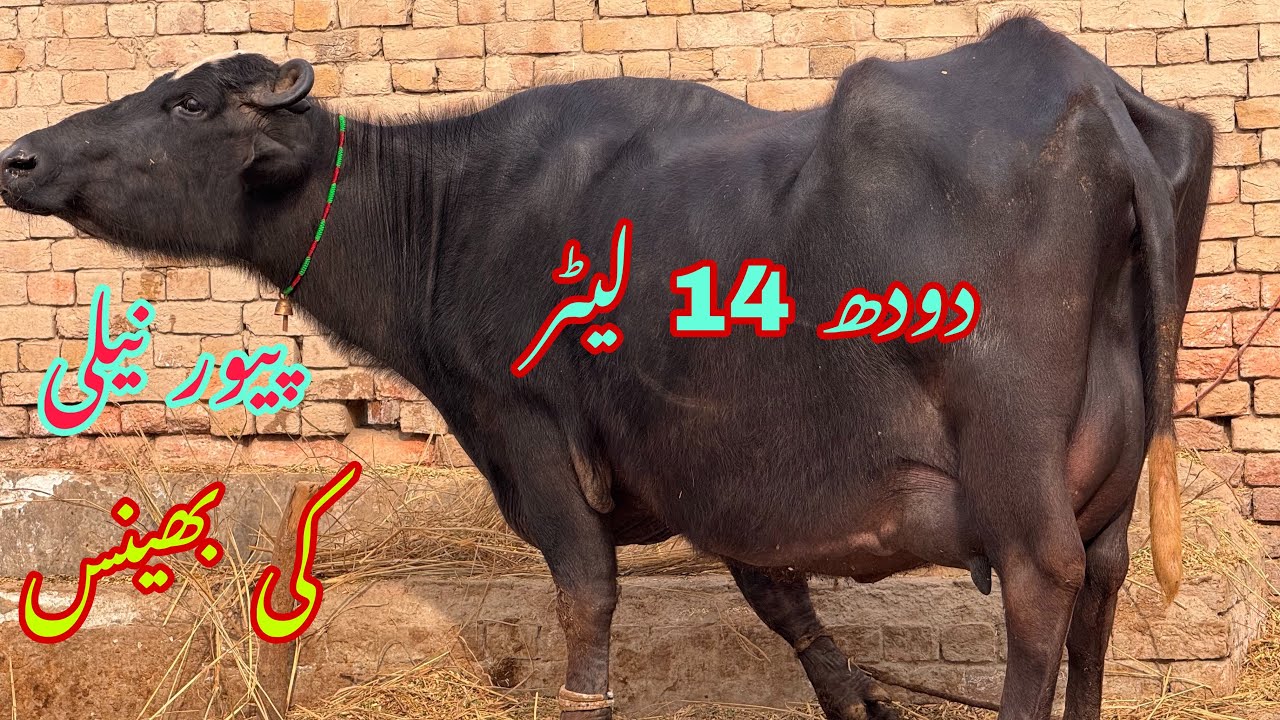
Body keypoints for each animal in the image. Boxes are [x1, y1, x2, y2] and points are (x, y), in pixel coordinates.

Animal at [0, 16, 1212, 720]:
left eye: (188, 103)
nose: (21, 156)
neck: (449, 213)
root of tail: (1098, 104)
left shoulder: (532, 437)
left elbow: (585, 608)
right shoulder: (723, 478)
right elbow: (789, 610)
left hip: (1013, 473)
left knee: (1043, 590)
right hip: (1106, 494)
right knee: (1102, 597)